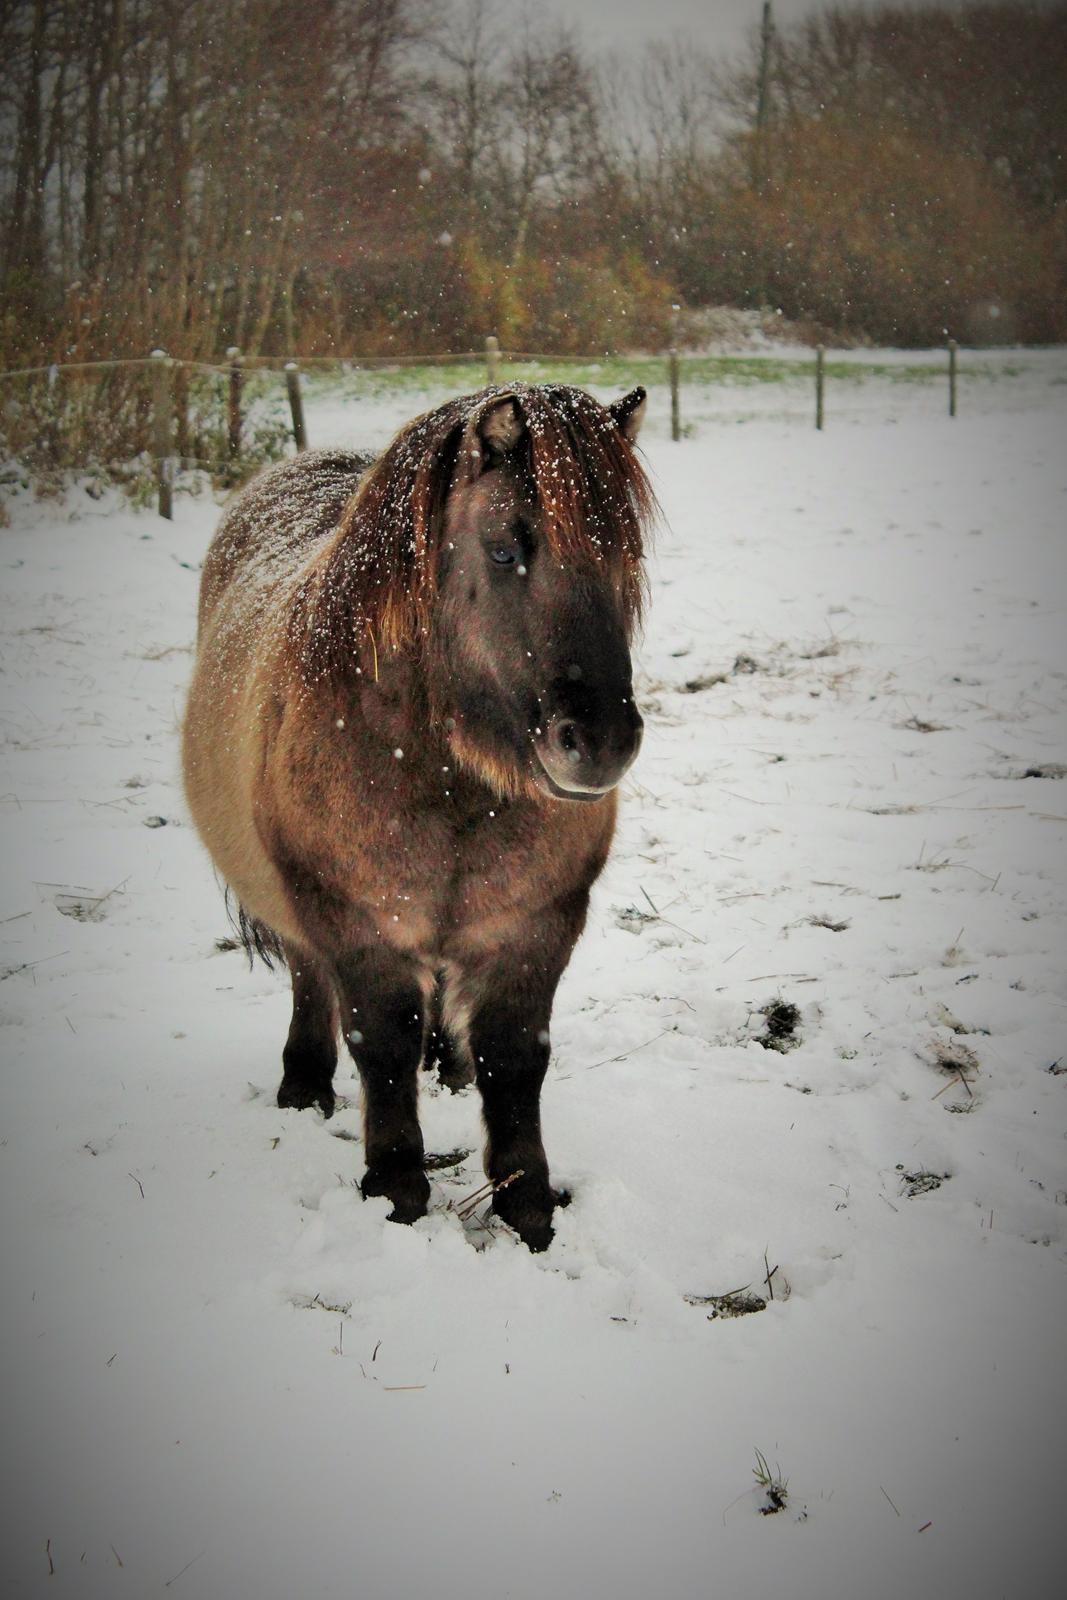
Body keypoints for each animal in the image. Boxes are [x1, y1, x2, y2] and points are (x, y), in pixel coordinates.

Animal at [181, 384, 652, 1248]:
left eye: (625, 557)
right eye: (502, 550)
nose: (600, 742)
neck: (441, 779)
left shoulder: (537, 924)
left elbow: (515, 1056)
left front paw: (527, 1205)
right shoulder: (355, 924)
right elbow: (381, 1044)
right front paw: (395, 1189)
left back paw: (447, 1062)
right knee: (308, 975)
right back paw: (304, 1082)